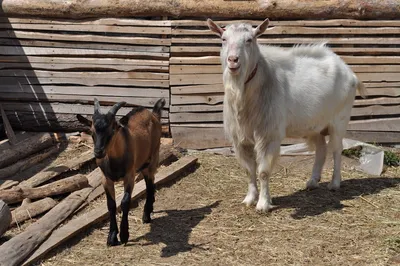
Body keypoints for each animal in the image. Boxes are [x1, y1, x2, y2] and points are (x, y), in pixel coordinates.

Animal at [208, 18, 368, 212]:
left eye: (249, 40)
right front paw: (249, 199)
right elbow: (249, 170)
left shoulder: (268, 134)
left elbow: (263, 171)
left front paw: (263, 204)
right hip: (315, 125)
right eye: (223, 39)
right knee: (321, 149)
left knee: (337, 149)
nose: (233, 60)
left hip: (340, 119)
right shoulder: (240, 138)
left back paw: (334, 184)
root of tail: (350, 72)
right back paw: (313, 181)